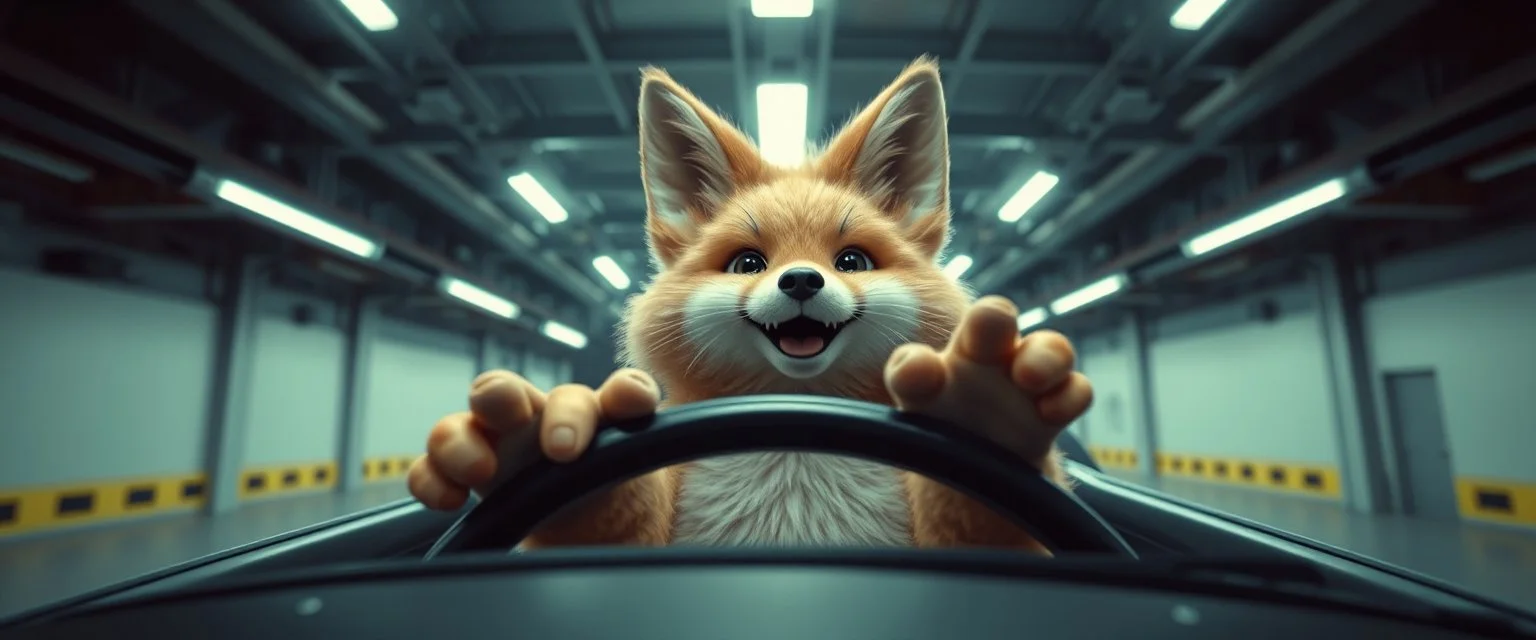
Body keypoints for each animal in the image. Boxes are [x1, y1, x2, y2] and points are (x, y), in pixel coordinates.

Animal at [408, 56, 1095, 553]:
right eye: (747, 263)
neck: (793, 432)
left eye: (851, 262)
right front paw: (534, 444)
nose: (801, 281)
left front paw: (989, 408)